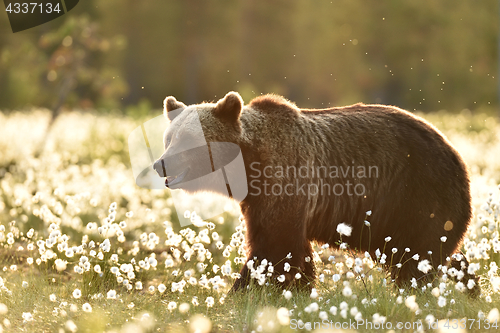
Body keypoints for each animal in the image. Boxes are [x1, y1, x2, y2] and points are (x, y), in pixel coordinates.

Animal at [153, 91, 476, 294]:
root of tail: (453, 148)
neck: (247, 165)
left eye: (187, 139)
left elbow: (277, 244)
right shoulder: (256, 200)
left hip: (419, 191)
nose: (160, 163)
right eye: (169, 138)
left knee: (419, 252)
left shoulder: (285, 181)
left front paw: (252, 289)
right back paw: (467, 285)